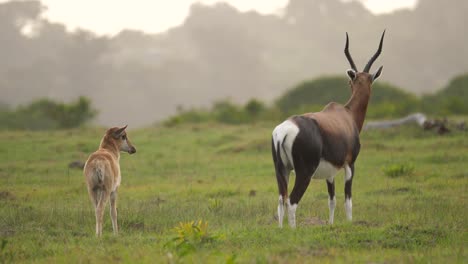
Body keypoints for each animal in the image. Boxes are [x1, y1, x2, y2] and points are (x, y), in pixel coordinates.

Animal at [272, 31, 386, 228]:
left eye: (351, 81)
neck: (347, 114)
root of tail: (285, 130)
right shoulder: (350, 164)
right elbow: (348, 200)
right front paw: (349, 223)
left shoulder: (330, 172)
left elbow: (331, 200)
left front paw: (331, 225)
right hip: (304, 173)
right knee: (292, 201)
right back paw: (293, 230)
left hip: (282, 170)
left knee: (281, 200)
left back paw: (281, 230)